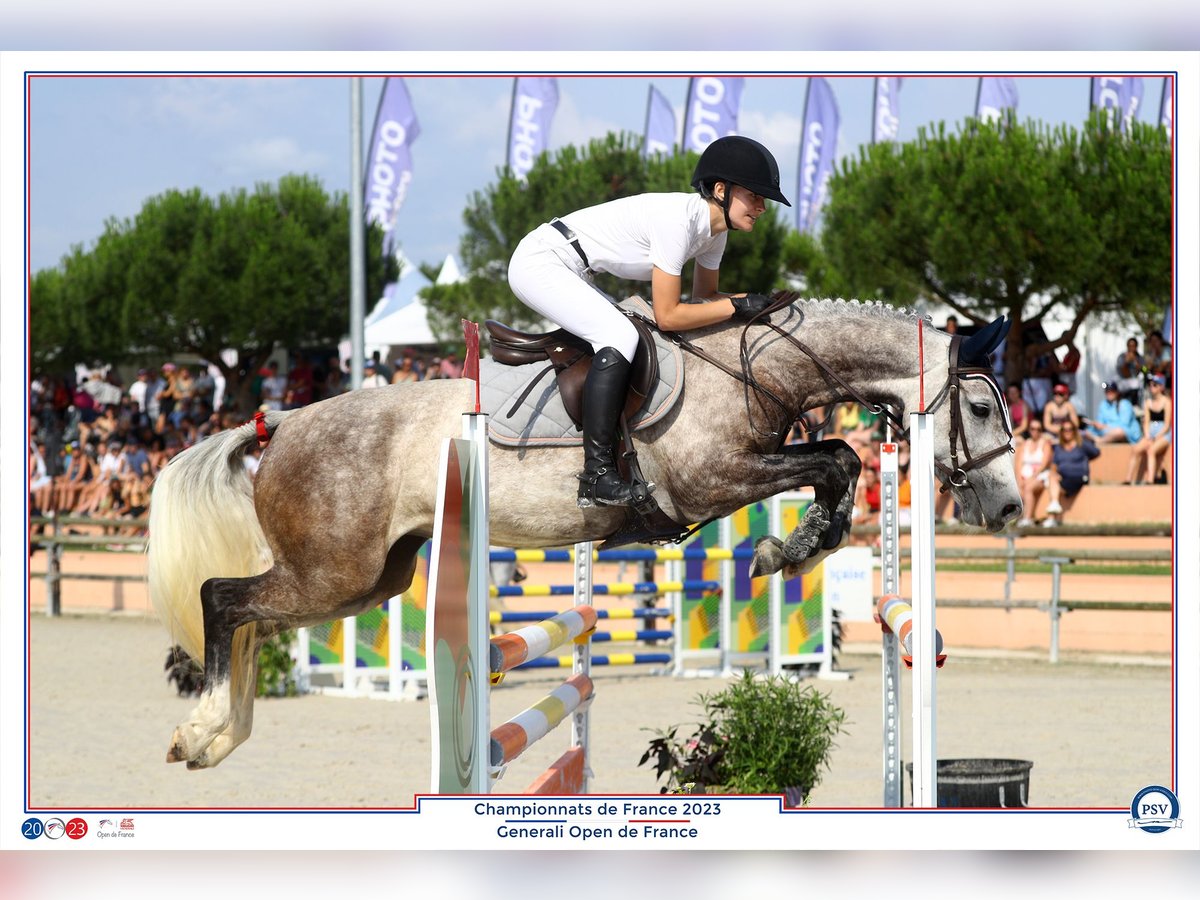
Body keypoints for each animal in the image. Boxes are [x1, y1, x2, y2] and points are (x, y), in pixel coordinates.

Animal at [145, 296, 1017, 768]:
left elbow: (836, 458)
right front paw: (788, 546)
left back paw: (217, 737)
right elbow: (836, 459)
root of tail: (282, 422)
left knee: (250, 619)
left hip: (364, 580)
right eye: (979, 407)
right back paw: (203, 730)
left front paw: (795, 544)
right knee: (222, 600)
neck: (753, 367)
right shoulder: (712, 482)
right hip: (334, 573)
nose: (1008, 509)